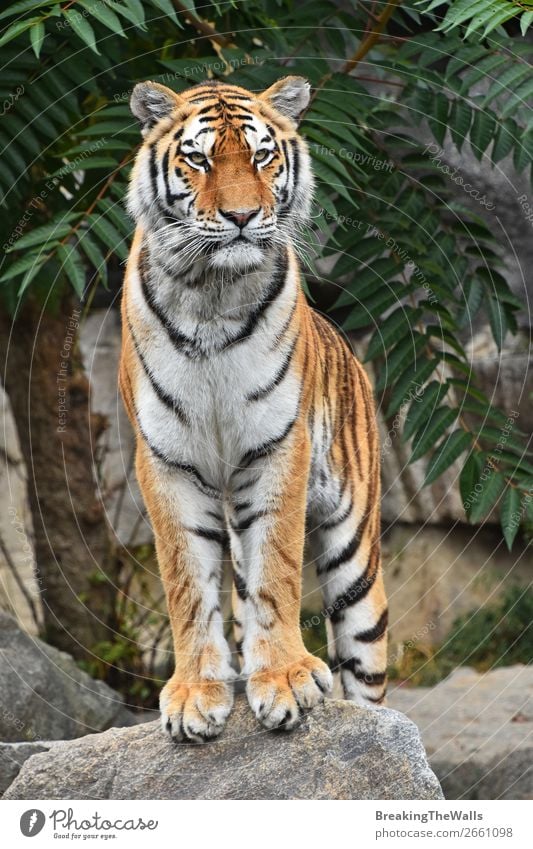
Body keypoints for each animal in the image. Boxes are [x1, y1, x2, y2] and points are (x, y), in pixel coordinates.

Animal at [120, 79, 386, 744]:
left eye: (263, 157)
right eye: (199, 159)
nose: (241, 218)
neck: (211, 293)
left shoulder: (277, 447)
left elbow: (278, 569)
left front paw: (286, 679)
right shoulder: (165, 459)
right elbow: (187, 581)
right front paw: (196, 694)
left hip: (357, 558)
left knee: (368, 674)